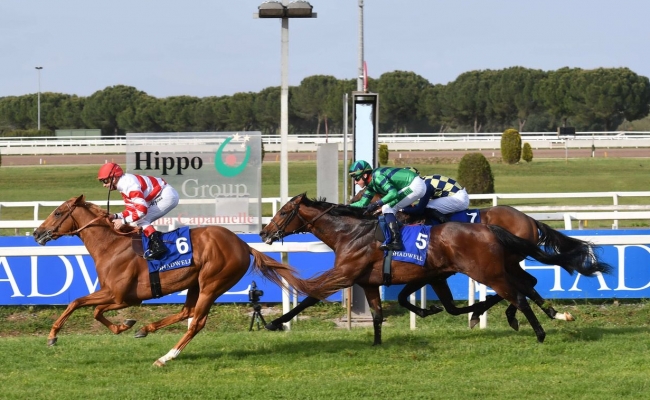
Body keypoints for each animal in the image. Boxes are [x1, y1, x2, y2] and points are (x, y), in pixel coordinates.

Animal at [33, 195, 322, 368]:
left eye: (57, 213)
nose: (37, 233)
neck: (112, 245)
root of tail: (243, 245)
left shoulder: (119, 296)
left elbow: (79, 303)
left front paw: (52, 336)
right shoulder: (118, 297)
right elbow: (92, 309)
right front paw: (125, 325)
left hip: (212, 283)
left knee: (197, 322)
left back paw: (166, 356)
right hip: (195, 283)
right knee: (187, 311)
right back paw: (145, 329)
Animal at [256, 194, 608, 344]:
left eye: (285, 211)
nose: (264, 231)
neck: (351, 232)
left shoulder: (346, 274)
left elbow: (311, 294)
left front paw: (275, 322)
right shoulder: (371, 281)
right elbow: (379, 314)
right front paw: (378, 343)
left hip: (490, 271)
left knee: (519, 293)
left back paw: (538, 331)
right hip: (500, 266)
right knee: (525, 284)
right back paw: (547, 315)